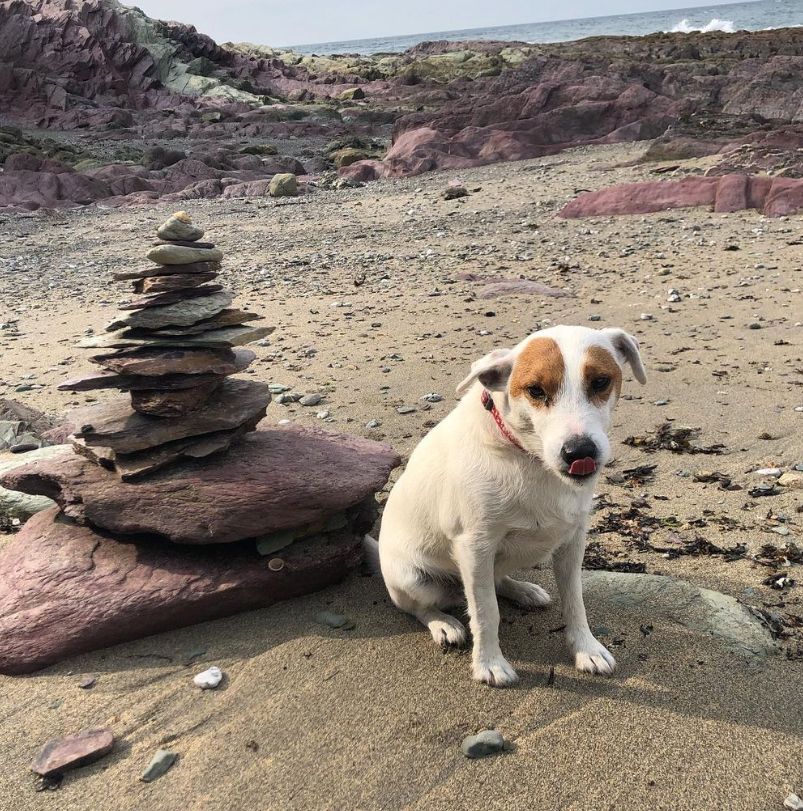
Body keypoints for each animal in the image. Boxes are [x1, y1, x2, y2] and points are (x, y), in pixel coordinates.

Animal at [370, 326, 648, 688]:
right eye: (535, 390)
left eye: (601, 382)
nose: (579, 451)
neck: (529, 458)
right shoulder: (475, 547)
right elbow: (486, 611)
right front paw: (489, 663)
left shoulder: (573, 541)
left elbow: (575, 600)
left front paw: (586, 648)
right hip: (413, 579)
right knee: (421, 608)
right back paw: (443, 624)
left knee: (498, 580)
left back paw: (523, 590)